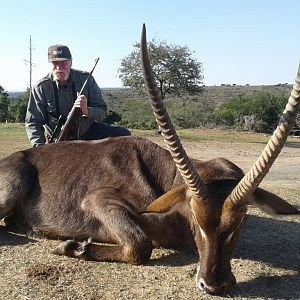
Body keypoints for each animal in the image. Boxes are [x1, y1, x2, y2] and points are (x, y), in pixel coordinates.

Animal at [0, 24, 298, 296]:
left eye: (241, 219)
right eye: (195, 215)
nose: (213, 284)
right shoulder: (98, 200)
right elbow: (141, 245)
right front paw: (72, 246)